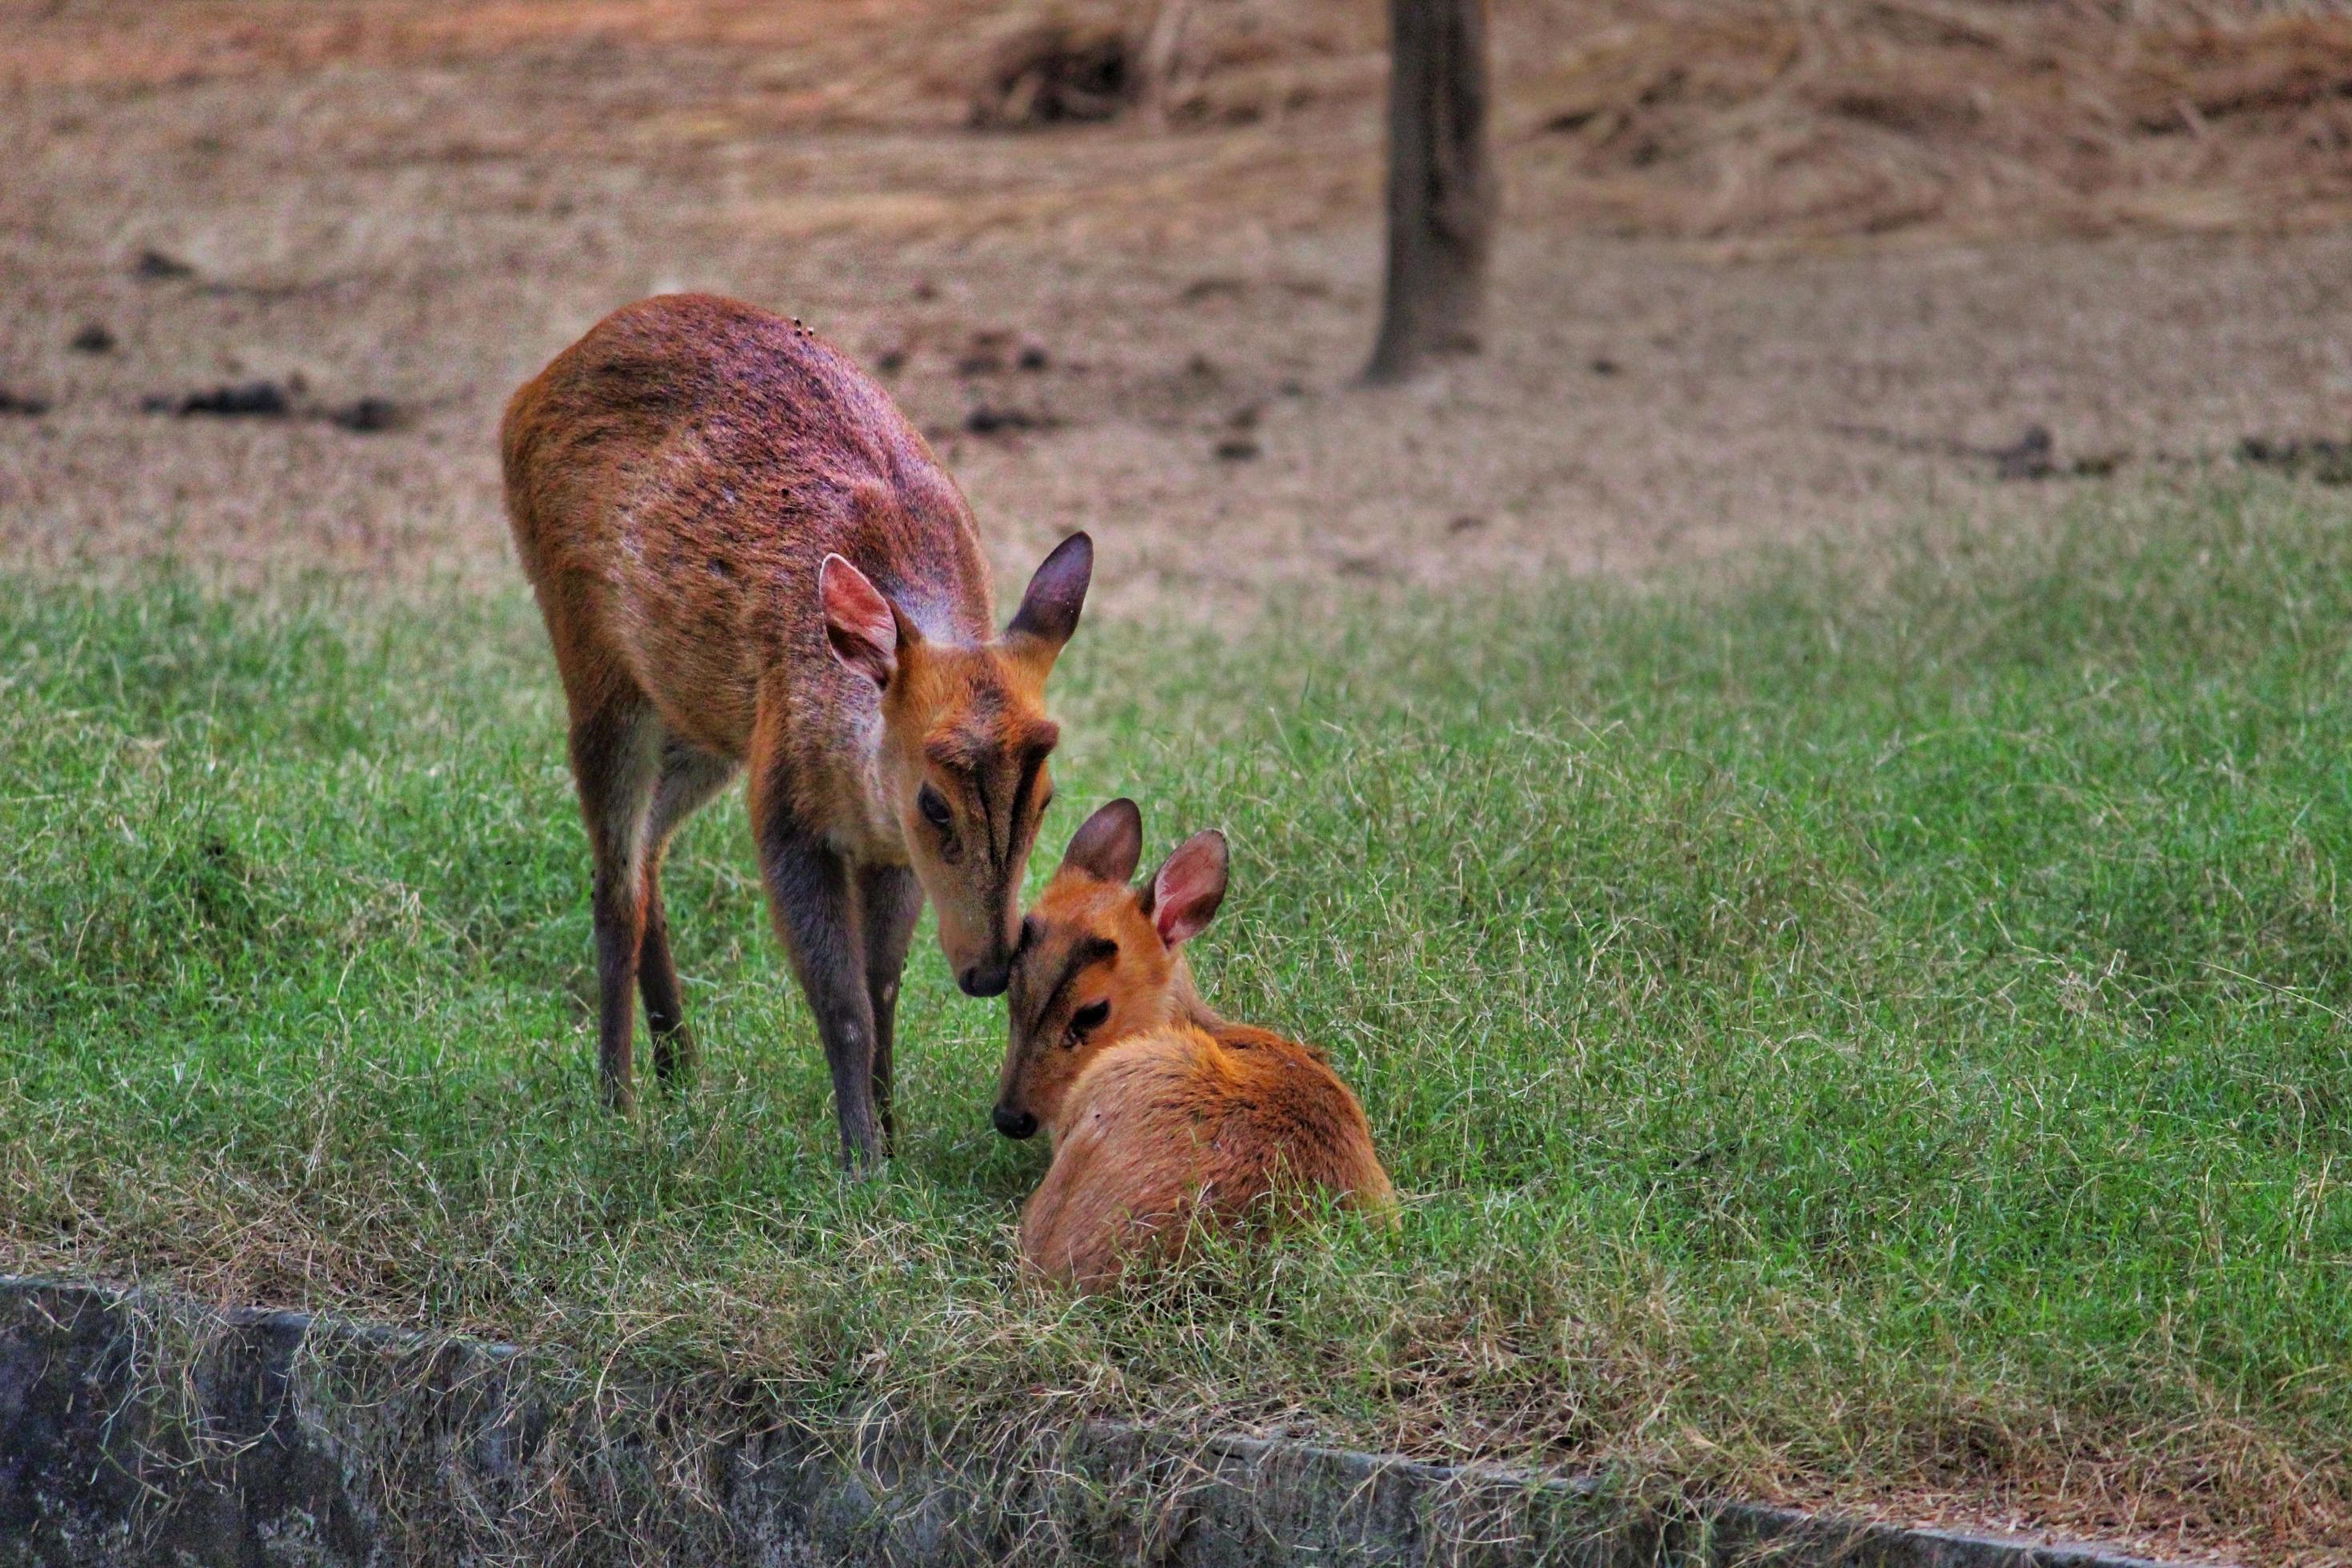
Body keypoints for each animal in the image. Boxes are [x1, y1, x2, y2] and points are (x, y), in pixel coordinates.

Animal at [506, 294, 1091, 1170]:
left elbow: (883, 987)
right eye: (935, 801)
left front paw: (892, 1135)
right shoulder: (783, 807)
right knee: (613, 883)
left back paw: (683, 1072)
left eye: (1046, 797)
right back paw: (618, 1102)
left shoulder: (886, 849)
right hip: (596, 665)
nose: (990, 969)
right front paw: (861, 1162)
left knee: (647, 858)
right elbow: (841, 999)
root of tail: (524, 396)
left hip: (707, 725)